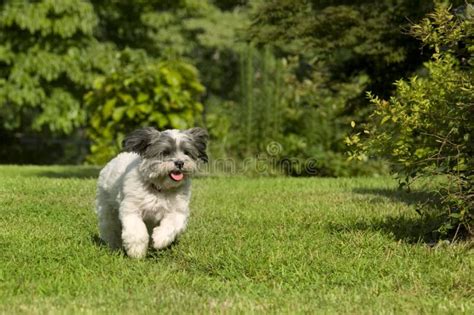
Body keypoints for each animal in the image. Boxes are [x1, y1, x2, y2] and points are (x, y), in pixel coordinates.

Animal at [96, 128, 207, 260]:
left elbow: (171, 224)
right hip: (107, 209)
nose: (180, 163)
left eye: (186, 152)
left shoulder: (178, 210)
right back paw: (114, 246)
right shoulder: (131, 208)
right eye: (165, 152)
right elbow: (136, 230)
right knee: (109, 227)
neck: (160, 188)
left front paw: (159, 240)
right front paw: (136, 251)